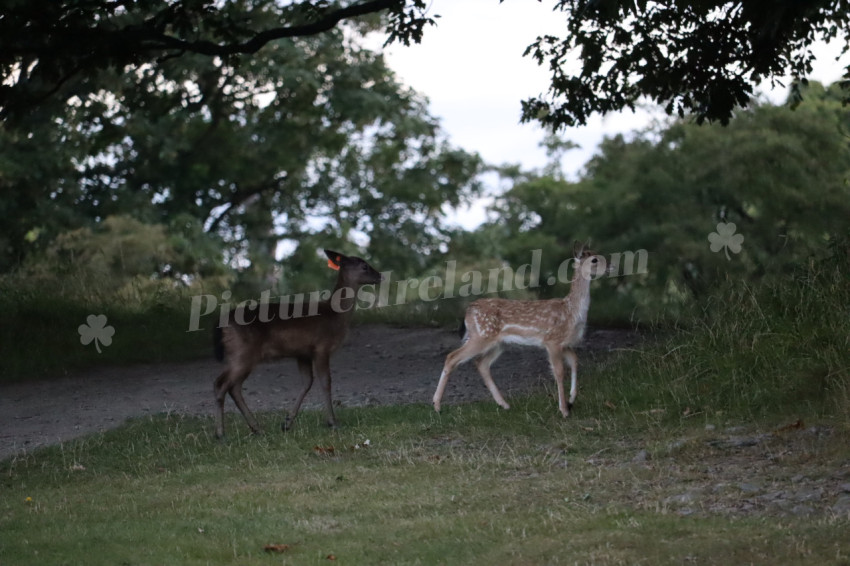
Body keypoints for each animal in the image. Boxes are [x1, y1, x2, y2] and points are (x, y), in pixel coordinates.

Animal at [213, 249, 383, 438]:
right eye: (364, 266)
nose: (380, 276)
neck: (335, 316)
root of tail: (223, 323)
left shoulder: (303, 353)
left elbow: (307, 383)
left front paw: (287, 422)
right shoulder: (321, 347)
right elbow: (326, 382)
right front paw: (333, 422)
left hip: (240, 354)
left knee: (232, 386)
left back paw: (257, 428)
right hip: (243, 352)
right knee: (222, 384)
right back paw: (221, 433)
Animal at [433, 243, 607, 418]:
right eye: (594, 259)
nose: (610, 267)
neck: (572, 311)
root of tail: (468, 310)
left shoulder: (565, 343)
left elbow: (575, 360)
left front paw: (571, 400)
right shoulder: (552, 340)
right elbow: (559, 371)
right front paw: (564, 410)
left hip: (498, 343)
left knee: (481, 363)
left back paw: (504, 404)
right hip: (481, 336)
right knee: (452, 357)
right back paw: (436, 406)